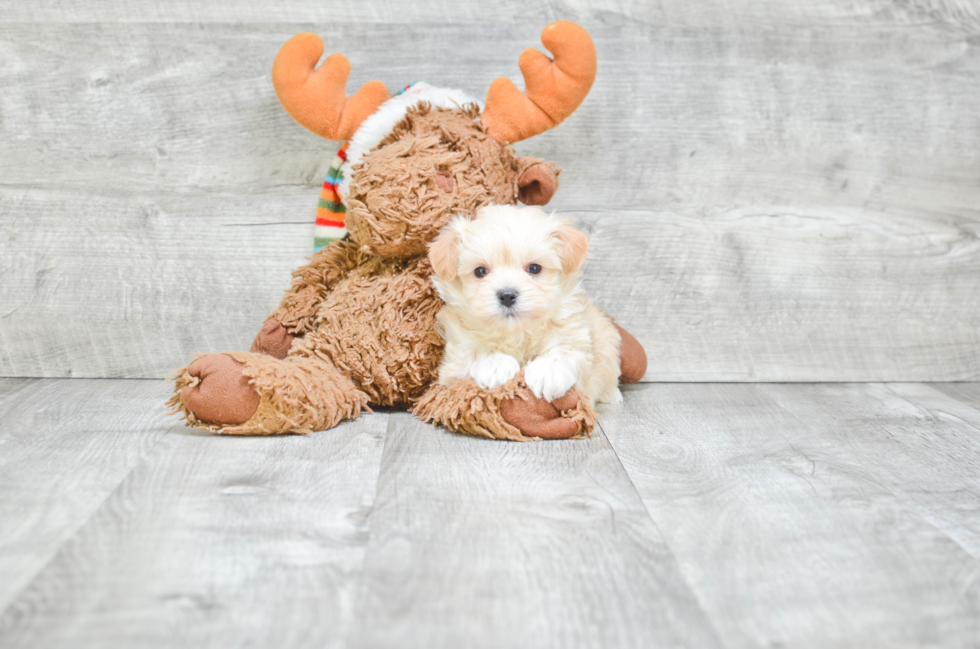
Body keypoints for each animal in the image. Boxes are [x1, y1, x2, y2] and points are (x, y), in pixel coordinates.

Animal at [426, 202, 620, 404]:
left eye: (534, 268)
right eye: (480, 271)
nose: (507, 296)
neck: (517, 332)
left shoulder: (577, 336)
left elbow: (567, 351)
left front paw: (548, 372)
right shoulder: (452, 362)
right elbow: (472, 351)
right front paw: (495, 364)